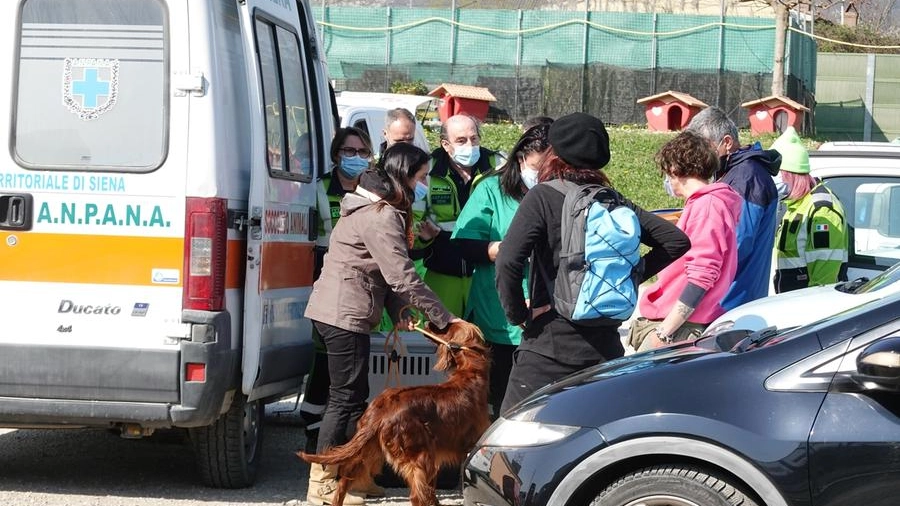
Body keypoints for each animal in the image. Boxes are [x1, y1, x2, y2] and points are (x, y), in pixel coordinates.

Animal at [298, 322, 488, 506]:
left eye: (446, 328)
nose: (427, 324)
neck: (469, 373)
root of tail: (380, 412)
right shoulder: (468, 445)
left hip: (369, 452)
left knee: (344, 482)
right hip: (420, 455)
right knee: (417, 495)